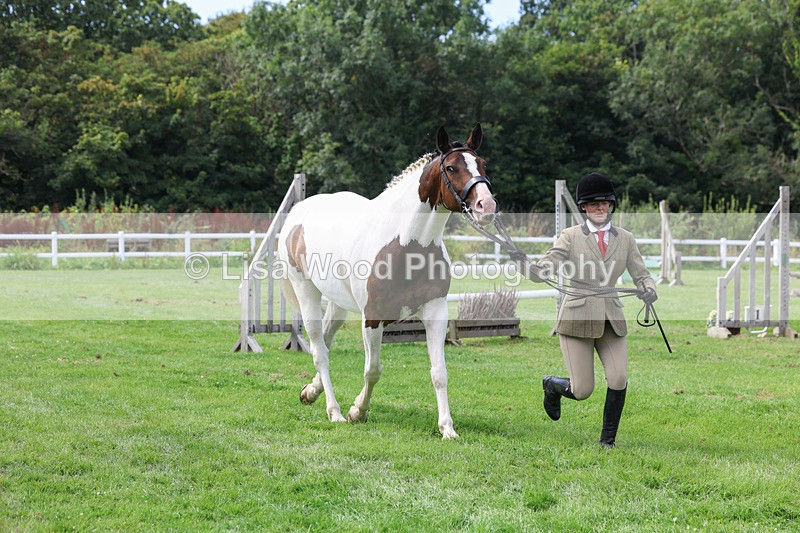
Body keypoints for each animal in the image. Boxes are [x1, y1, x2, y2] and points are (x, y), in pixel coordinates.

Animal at [277, 124, 497, 438]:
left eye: (482, 164)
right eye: (451, 167)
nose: (486, 205)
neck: (407, 243)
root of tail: (299, 213)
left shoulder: (436, 312)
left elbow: (439, 373)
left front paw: (447, 428)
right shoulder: (372, 318)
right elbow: (373, 370)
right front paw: (357, 411)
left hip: (339, 304)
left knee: (327, 343)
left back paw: (310, 392)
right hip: (306, 293)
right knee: (320, 352)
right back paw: (334, 412)